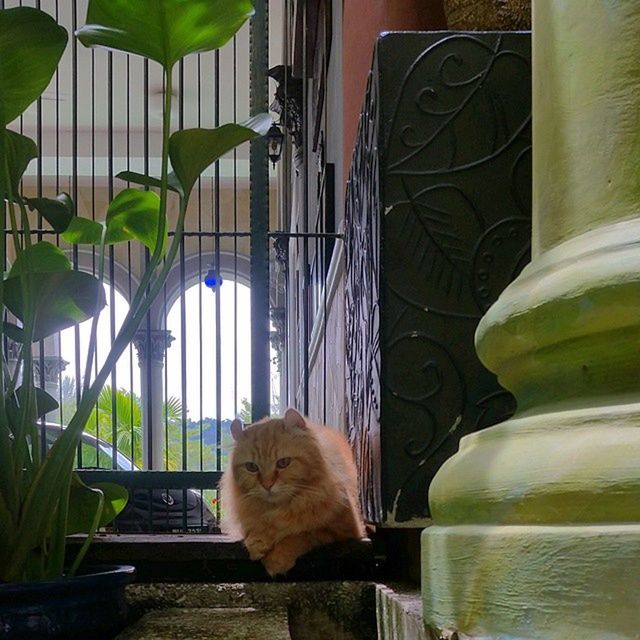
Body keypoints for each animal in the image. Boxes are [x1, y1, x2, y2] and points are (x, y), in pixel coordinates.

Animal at [219, 408, 362, 576]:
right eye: (252, 467)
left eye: (283, 463)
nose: (267, 485)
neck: (281, 509)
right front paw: (258, 541)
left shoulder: (343, 529)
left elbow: (302, 535)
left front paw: (277, 559)